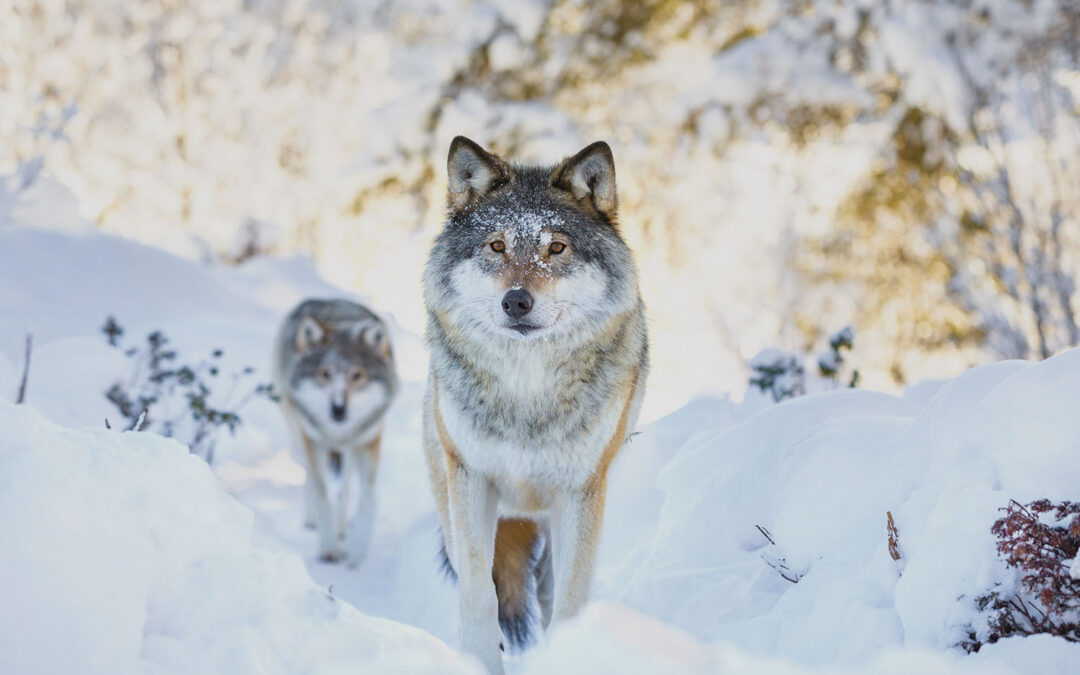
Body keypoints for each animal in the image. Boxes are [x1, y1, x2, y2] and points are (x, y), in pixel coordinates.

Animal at [273, 298, 399, 565]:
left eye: (357, 375)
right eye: (325, 374)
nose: (338, 409)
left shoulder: (368, 440)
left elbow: (368, 498)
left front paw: (357, 550)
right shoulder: (313, 440)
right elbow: (322, 495)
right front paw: (329, 547)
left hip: (350, 448)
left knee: (346, 485)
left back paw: (342, 527)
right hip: (298, 433)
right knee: (310, 476)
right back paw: (313, 519)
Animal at [422, 136, 648, 673]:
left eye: (557, 247)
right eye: (497, 246)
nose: (516, 301)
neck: (526, 391)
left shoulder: (581, 492)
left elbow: (570, 599)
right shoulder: (472, 479)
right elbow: (479, 593)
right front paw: (479, 660)